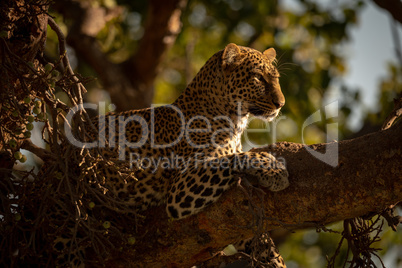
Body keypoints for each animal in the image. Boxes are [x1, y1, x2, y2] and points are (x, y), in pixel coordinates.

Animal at [59, 43, 288, 266]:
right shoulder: (181, 190)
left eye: (276, 78)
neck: (235, 122)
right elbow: (230, 159)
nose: (281, 104)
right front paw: (274, 170)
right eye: (258, 78)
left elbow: (265, 246)